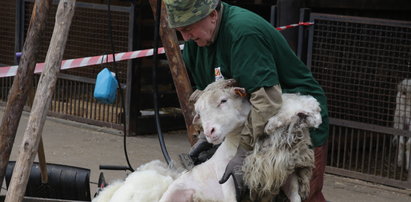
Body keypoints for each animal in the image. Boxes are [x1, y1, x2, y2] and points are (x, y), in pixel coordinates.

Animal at [93, 79, 322, 201]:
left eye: (224, 100)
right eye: (200, 112)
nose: (209, 132)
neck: (235, 146)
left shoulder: (287, 177)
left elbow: (295, 197)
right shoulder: (228, 182)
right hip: (172, 194)